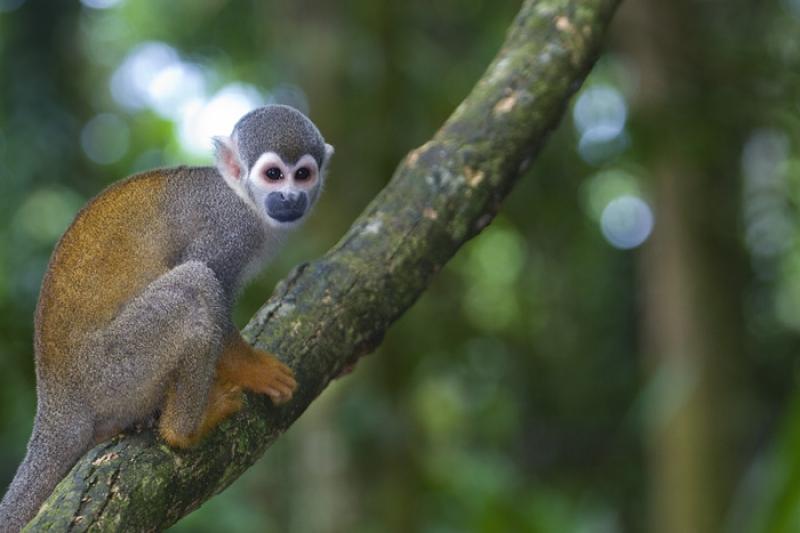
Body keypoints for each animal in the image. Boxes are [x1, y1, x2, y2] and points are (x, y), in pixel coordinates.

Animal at [0, 105, 332, 532]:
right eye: (273, 174)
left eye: (302, 174)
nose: (290, 197)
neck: (244, 200)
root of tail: (57, 402)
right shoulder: (229, 231)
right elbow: (211, 285)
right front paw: (253, 369)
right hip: (113, 370)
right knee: (196, 286)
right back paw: (184, 430)